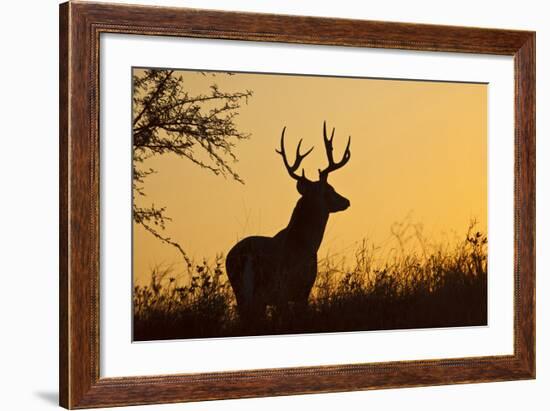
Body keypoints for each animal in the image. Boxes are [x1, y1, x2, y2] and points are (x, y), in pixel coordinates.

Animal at [225, 122, 352, 326]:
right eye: (330, 189)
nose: (346, 201)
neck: (306, 243)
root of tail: (246, 255)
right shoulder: (301, 289)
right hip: (273, 288)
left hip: (242, 291)